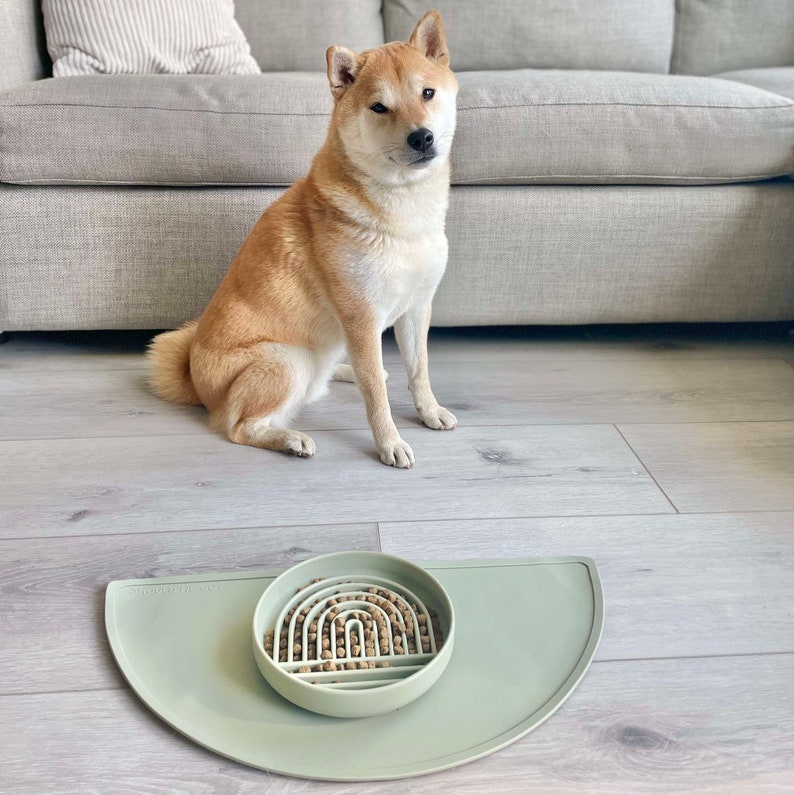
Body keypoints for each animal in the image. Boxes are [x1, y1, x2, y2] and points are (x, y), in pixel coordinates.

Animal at [148, 10, 458, 466]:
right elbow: (376, 398)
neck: (405, 213)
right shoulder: (362, 318)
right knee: (238, 427)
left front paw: (429, 410)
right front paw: (389, 442)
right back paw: (290, 439)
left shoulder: (416, 308)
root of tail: (194, 377)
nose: (421, 136)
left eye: (428, 93)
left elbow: (419, 373)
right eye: (379, 107)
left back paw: (342, 373)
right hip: (288, 360)